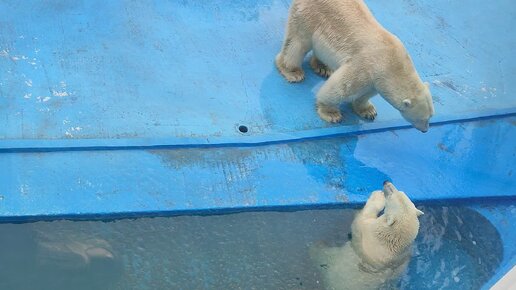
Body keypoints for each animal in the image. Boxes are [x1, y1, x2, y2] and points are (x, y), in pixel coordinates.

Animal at [276, 0, 434, 132]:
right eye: (423, 118)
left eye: (431, 115)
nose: (425, 130)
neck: (392, 62)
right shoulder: (365, 66)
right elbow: (340, 88)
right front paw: (332, 114)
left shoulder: (375, 80)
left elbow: (365, 94)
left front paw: (368, 111)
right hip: (308, 15)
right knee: (297, 42)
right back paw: (293, 72)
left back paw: (323, 67)